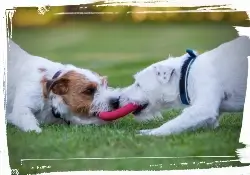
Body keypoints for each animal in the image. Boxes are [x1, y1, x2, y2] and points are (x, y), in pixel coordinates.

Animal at [112, 35, 250, 136]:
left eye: (138, 84)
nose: (117, 100)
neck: (186, 76)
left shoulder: (204, 107)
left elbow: (171, 124)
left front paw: (150, 133)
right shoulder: (210, 117)